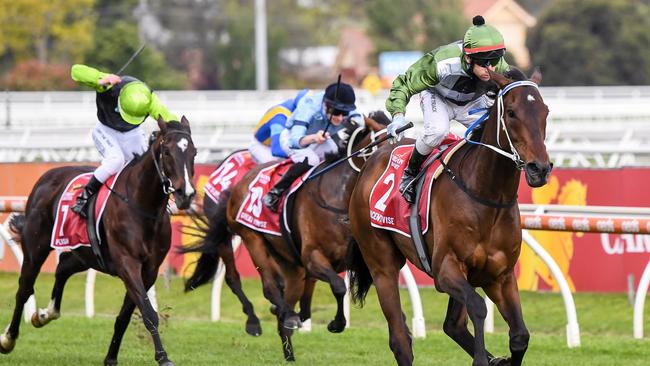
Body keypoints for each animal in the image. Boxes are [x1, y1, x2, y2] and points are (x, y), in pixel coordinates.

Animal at [1, 118, 196, 366]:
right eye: (168, 152)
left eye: (194, 153)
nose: (186, 194)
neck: (142, 206)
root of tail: (47, 176)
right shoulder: (127, 263)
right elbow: (148, 313)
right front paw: (163, 357)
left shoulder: (149, 269)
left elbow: (126, 314)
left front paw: (111, 357)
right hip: (36, 247)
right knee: (24, 288)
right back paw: (8, 338)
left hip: (85, 254)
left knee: (62, 268)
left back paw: (45, 314)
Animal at [346, 69, 548, 366]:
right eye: (511, 112)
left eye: (545, 111)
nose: (540, 169)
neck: (486, 195)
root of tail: (371, 161)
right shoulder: (445, 270)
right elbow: (478, 306)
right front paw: (484, 358)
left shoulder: (499, 275)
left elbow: (520, 336)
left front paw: (501, 358)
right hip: (381, 263)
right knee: (400, 339)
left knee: (453, 325)